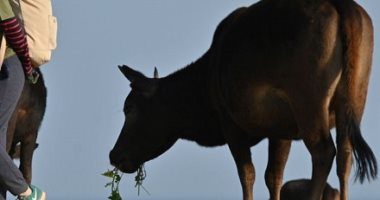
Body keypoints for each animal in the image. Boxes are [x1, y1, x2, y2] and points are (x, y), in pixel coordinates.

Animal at [110, 0, 378, 200]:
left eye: (129, 108)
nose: (114, 154)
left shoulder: (231, 123)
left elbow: (247, 174)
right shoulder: (281, 128)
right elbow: (274, 176)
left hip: (307, 98)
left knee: (324, 151)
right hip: (355, 94)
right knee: (346, 153)